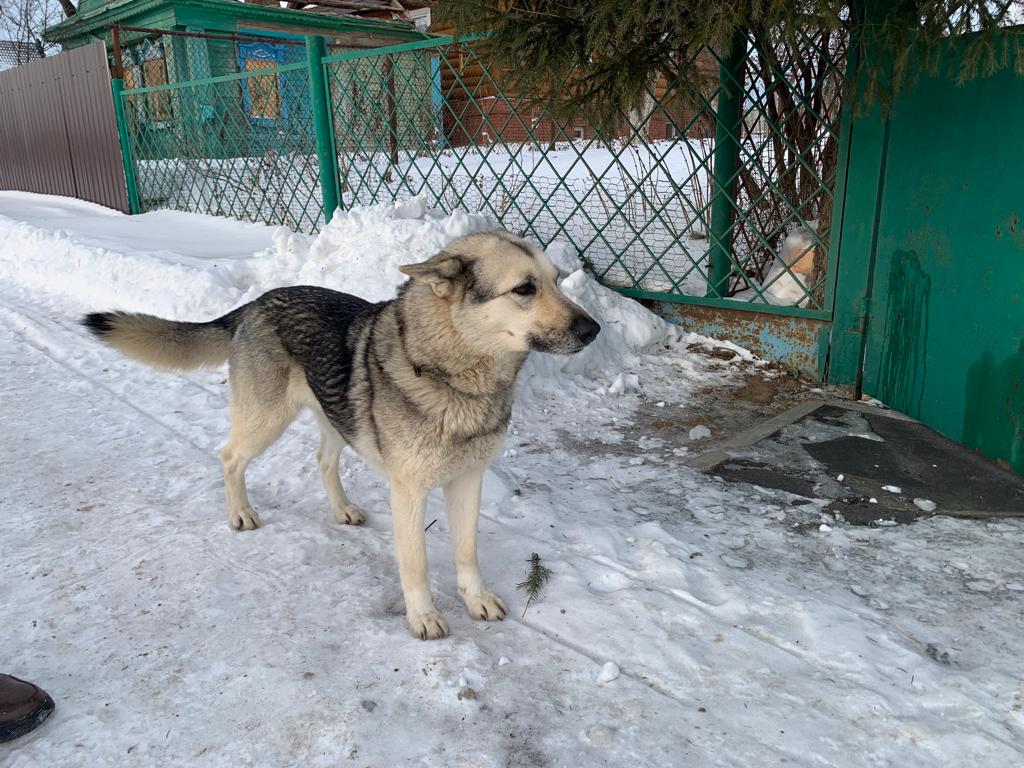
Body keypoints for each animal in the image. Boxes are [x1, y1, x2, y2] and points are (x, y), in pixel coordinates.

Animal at [86, 228, 598, 638]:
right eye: (524, 288)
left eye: (555, 281)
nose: (593, 329)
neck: (454, 375)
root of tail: (256, 303)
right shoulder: (409, 491)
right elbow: (416, 563)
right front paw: (423, 618)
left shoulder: (467, 480)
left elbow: (467, 551)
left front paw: (476, 599)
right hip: (265, 420)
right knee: (229, 456)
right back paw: (241, 513)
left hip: (332, 417)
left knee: (322, 460)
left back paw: (342, 509)